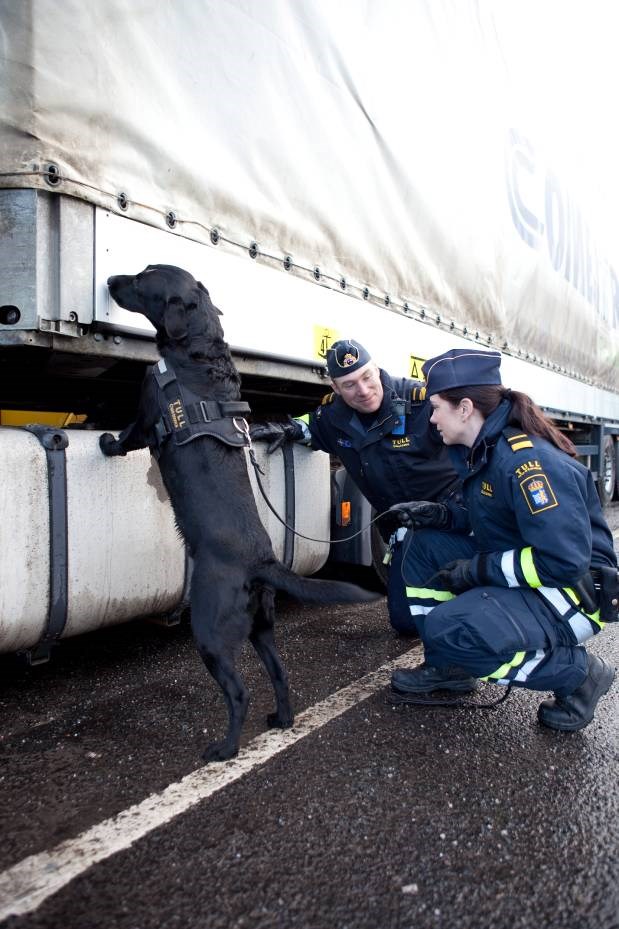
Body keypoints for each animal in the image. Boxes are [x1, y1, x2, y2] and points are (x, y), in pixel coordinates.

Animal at [100, 262, 380, 760]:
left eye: (143, 278)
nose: (112, 280)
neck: (194, 352)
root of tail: (262, 563)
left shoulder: (147, 412)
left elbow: (129, 434)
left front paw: (107, 443)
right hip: (261, 628)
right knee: (280, 675)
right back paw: (281, 719)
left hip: (210, 632)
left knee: (239, 692)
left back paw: (225, 748)